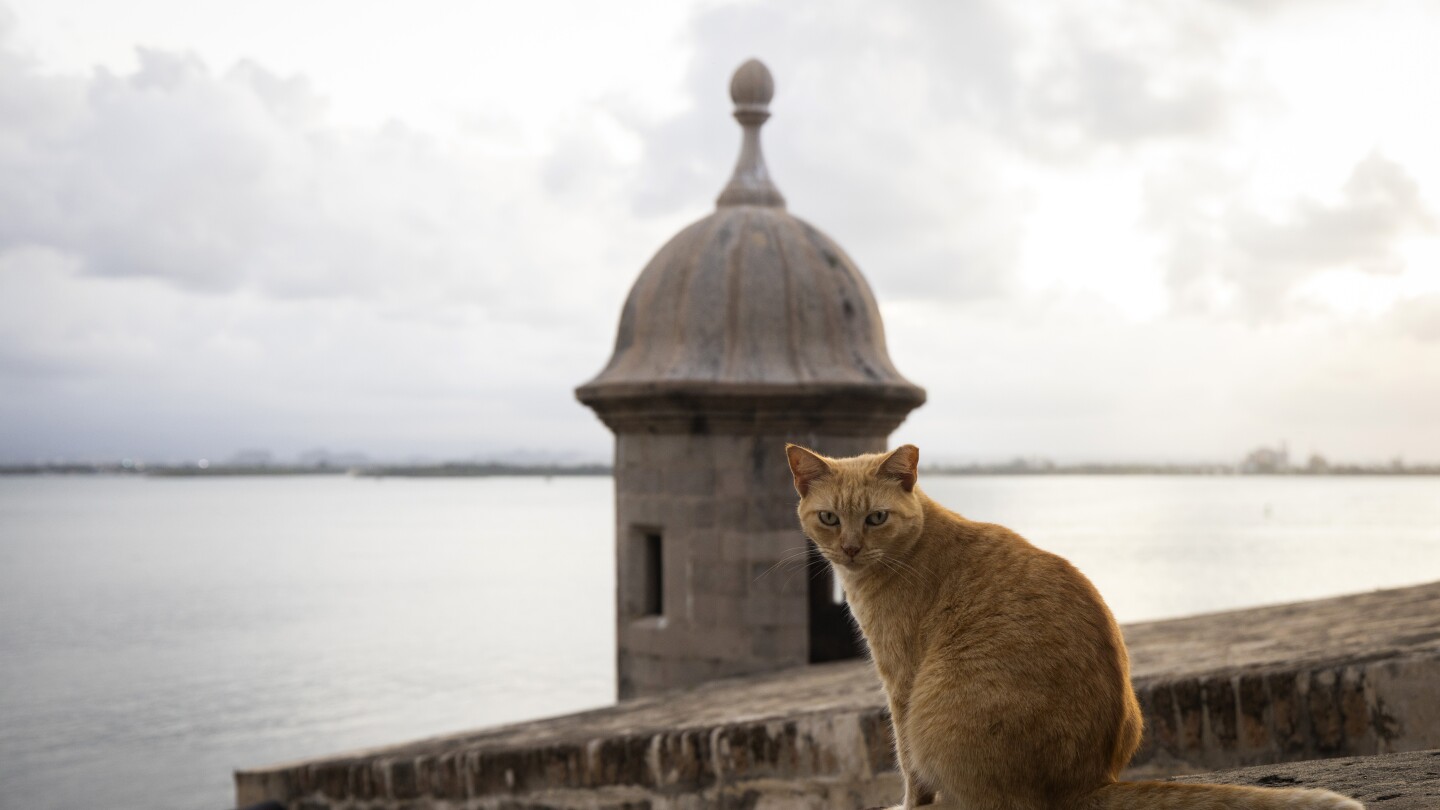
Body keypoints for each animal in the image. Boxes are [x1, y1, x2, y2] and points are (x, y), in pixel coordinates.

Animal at [789, 441, 1359, 807]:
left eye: (876, 518)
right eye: (830, 519)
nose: (850, 549)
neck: (911, 546)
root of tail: (1088, 781)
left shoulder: (900, 682)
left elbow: (907, 765)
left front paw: (908, 804)